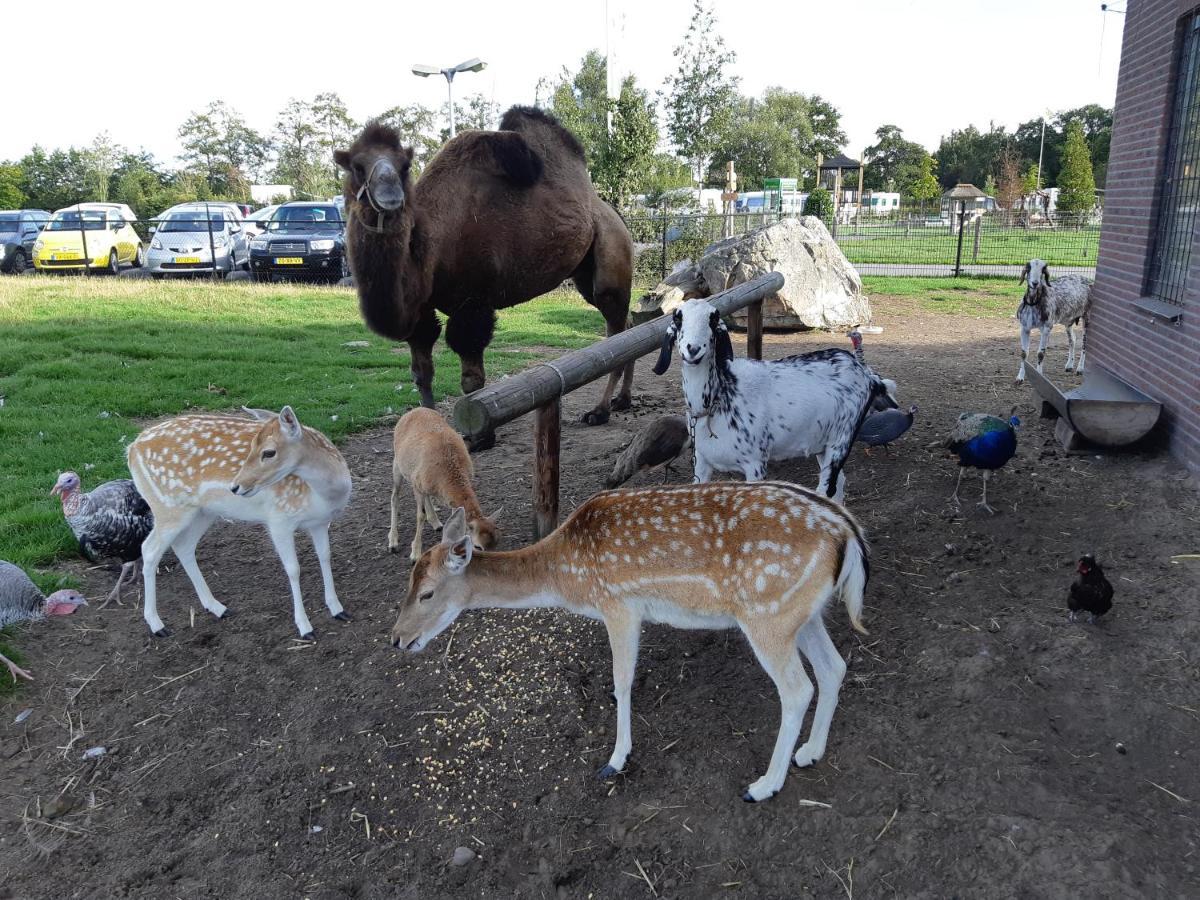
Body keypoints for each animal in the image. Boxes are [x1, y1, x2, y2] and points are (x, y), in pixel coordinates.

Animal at [126, 408, 350, 643]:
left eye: (269, 452)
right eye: (251, 445)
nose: (235, 486)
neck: (324, 496)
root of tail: (131, 450)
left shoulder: (321, 522)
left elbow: (325, 556)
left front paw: (337, 609)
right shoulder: (279, 520)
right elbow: (293, 569)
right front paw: (305, 627)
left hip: (202, 512)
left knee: (183, 546)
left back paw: (217, 607)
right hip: (168, 508)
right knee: (149, 549)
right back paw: (157, 624)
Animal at [333, 105, 633, 448]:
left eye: (404, 166)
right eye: (357, 166)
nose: (389, 192)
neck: (430, 243)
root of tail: (617, 216)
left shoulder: (472, 301)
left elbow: (471, 379)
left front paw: (481, 438)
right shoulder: (421, 308)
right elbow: (421, 372)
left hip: (610, 258)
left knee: (615, 328)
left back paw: (600, 411)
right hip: (585, 273)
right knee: (626, 325)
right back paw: (623, 400)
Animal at [391, 410, 499, 564]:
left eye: (496, 543)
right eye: (478, 546)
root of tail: (412, 411)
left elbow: (457, 518)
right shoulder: (417, 485)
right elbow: (420, 516)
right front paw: (415, 555)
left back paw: (436, 523)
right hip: (397, 466)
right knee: (395, 497)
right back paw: (393, 543)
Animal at [393, 482, 873, 806]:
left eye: (428, 593)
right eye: (408, 581)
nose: (398, 638)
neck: (568, 580)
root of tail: (848, 533)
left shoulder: (618, 604)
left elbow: (621, 682)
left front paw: (616, 758)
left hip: (766, 613)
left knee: (798, 688)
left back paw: (764, 785)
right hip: (802, 613)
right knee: (834, 667)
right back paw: (810, 752)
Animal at [652, 300, 897, 504]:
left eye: (713, 319)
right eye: (678, 318)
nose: (693, 349)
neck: (722, 394)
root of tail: (868, 375)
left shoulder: (755, 464)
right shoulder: (702, 462)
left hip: (842, 440)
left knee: (827, 489)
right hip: (824, 444)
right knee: (838, 486)